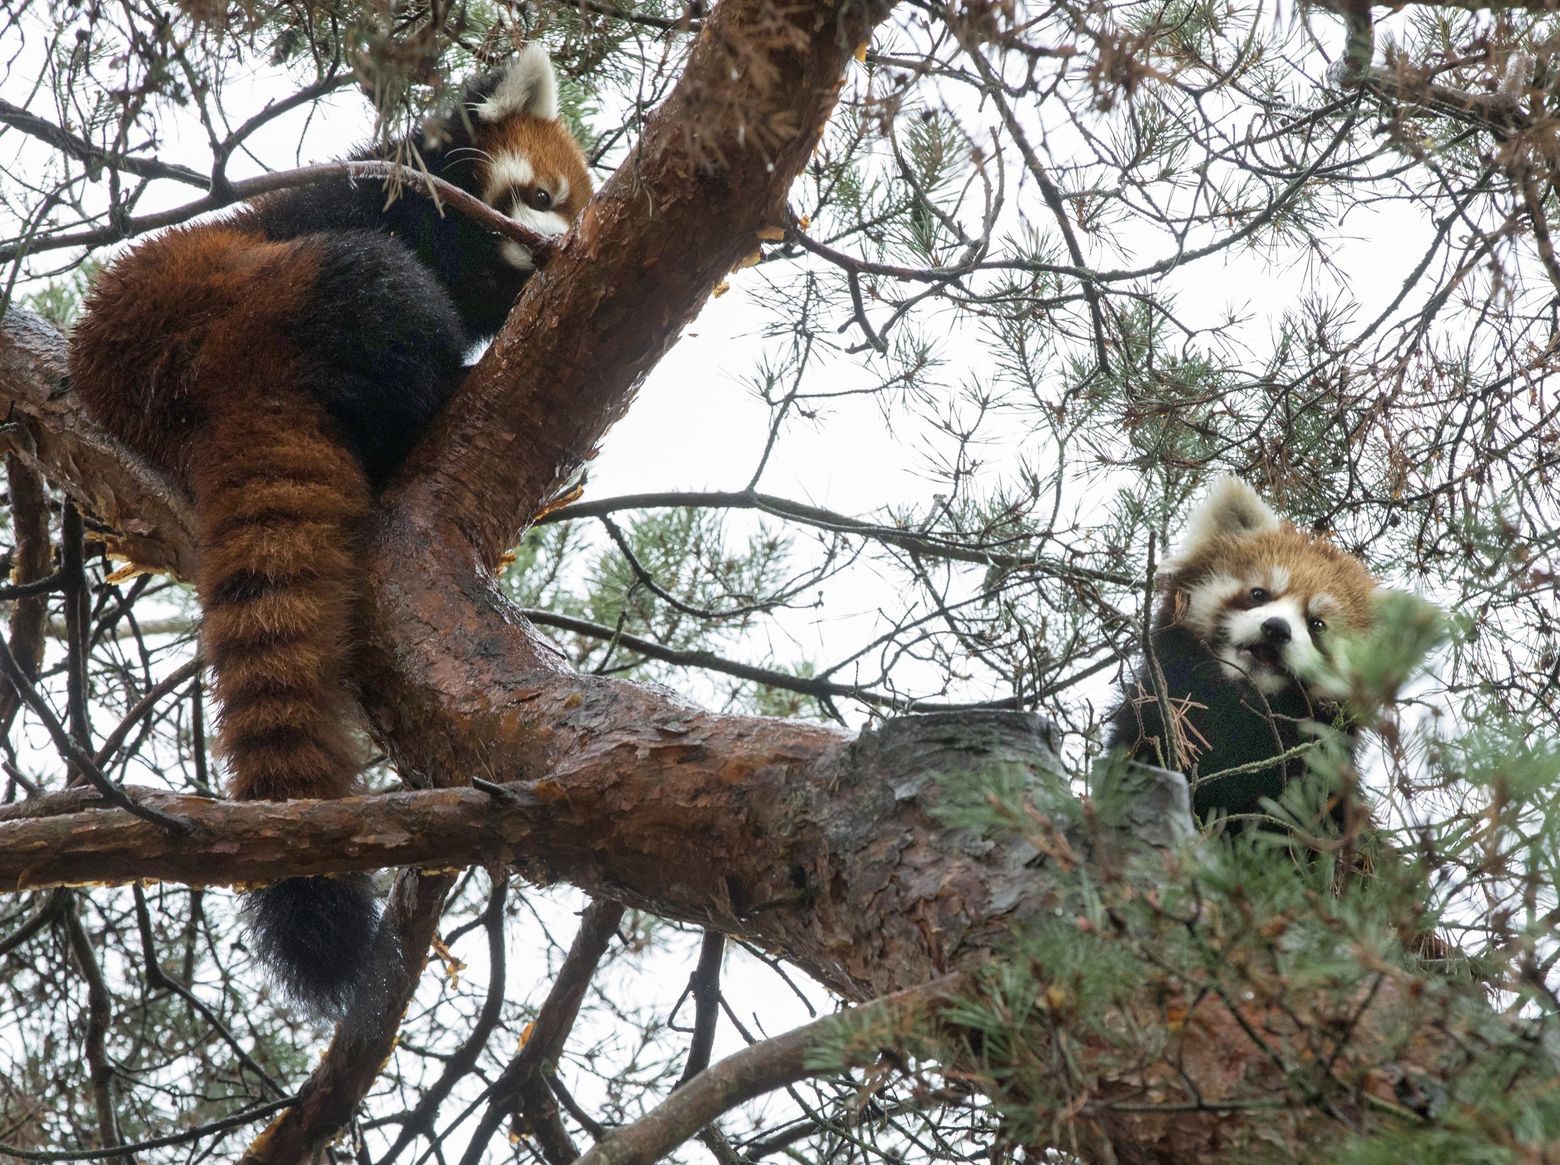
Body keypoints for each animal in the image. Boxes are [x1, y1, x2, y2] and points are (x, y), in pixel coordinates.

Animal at [67, 45, 592, 1016]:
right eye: (539, 194)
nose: (560, 247)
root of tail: (216, 384)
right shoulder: (359, 199)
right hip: (272, 283)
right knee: (376, 288)